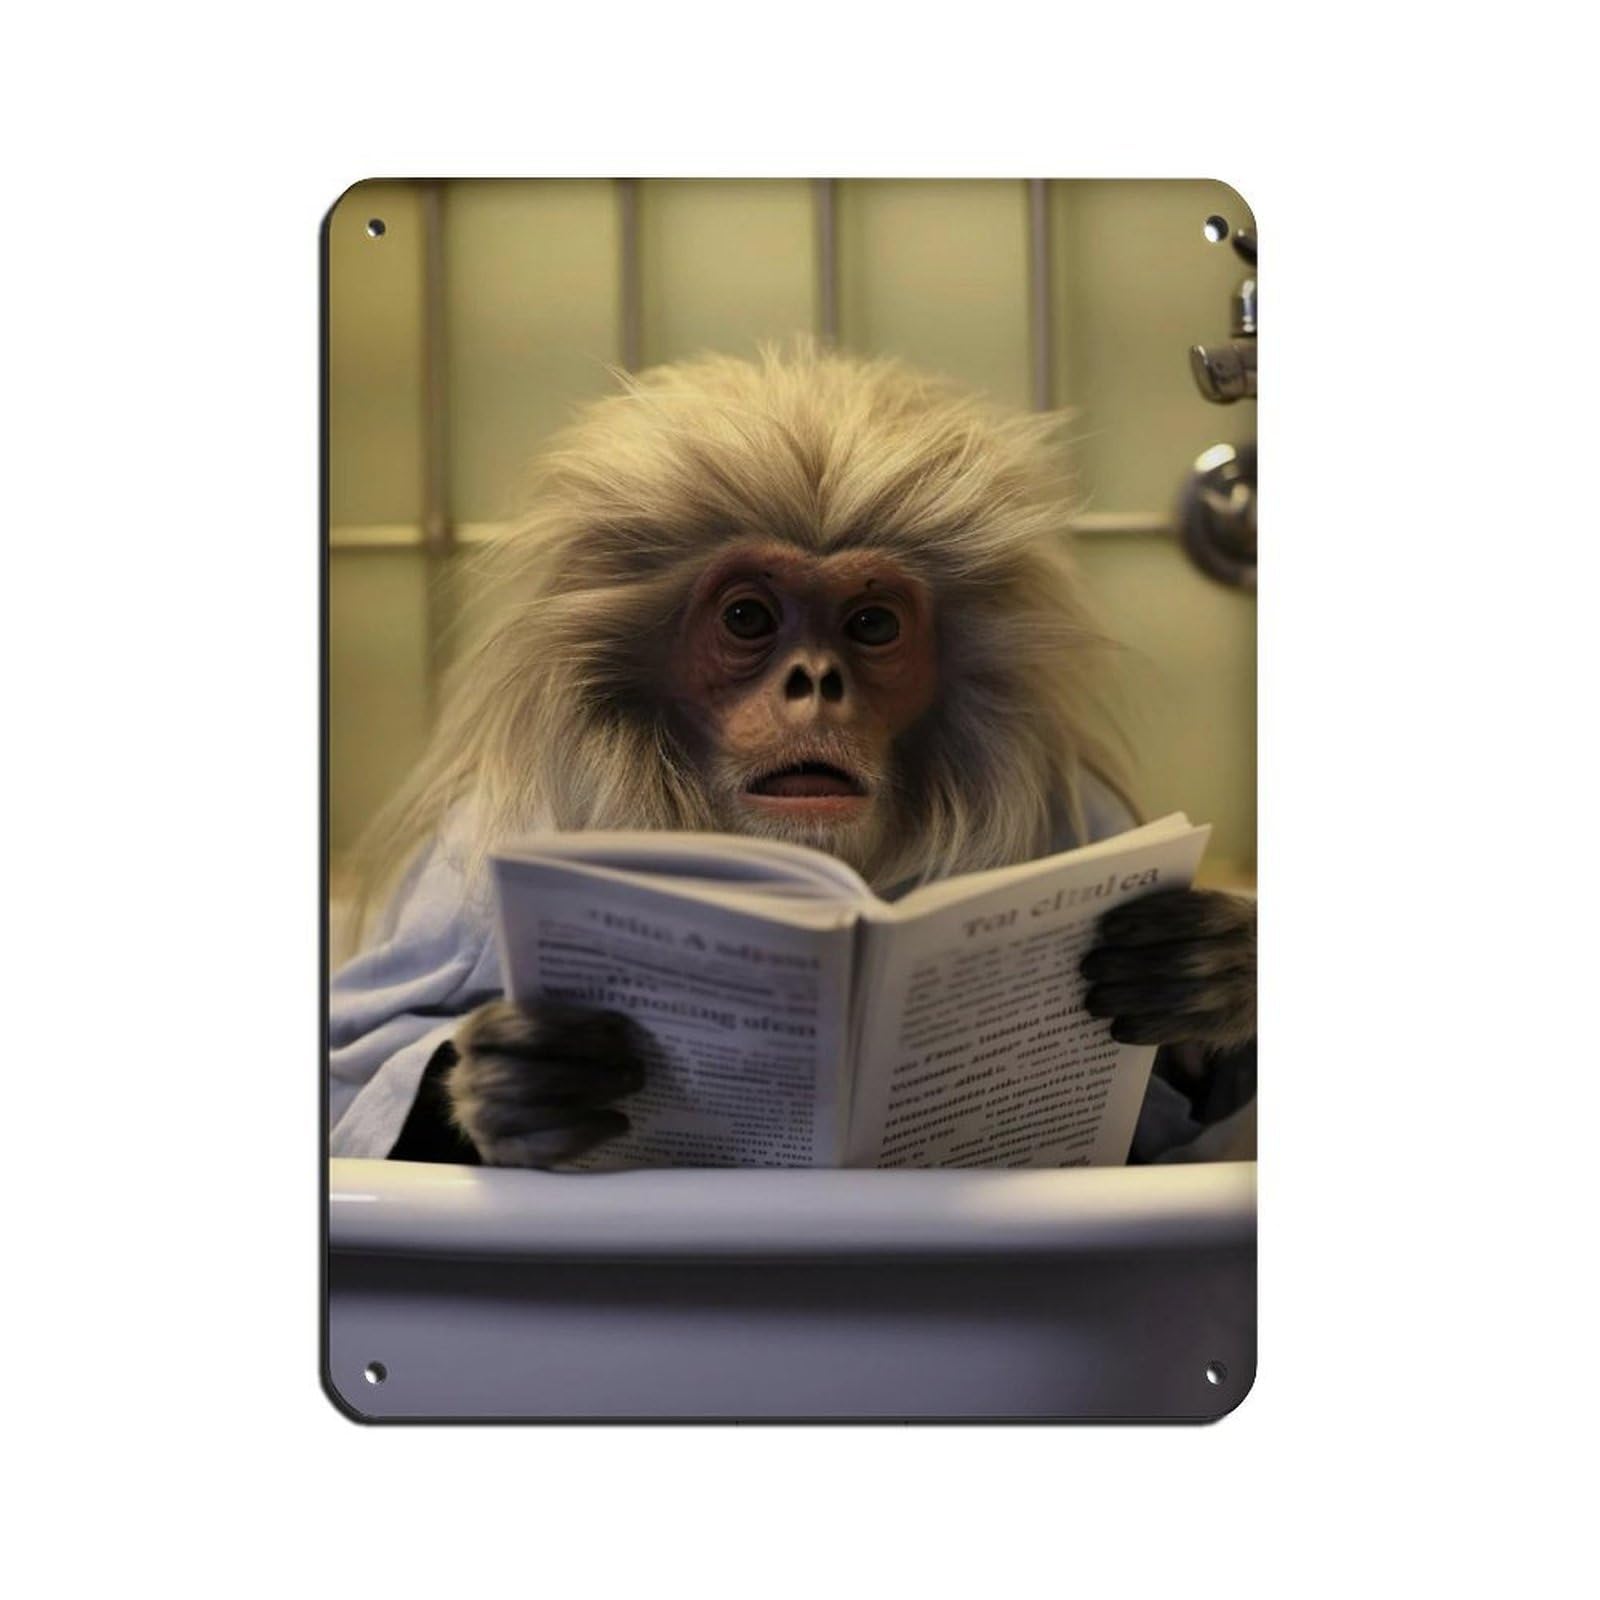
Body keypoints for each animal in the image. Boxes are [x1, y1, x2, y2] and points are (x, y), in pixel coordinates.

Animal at [329, 342, 1255, 1169]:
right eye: (748, 618)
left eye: (871, 624)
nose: (815, 681)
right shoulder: (462, 869)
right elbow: (355, 1067)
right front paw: (517, 1085)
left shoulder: (1087, 813)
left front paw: (1214, 978)